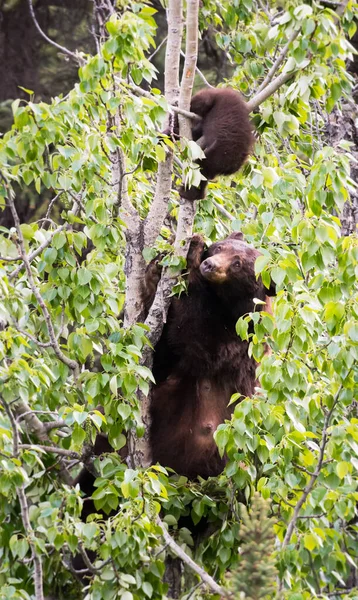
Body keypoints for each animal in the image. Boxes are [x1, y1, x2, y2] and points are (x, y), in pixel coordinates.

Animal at [147, 232, 276, 480]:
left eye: (238, 264)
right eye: (220, 247)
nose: (209, 265)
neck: (225, 306)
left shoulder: (240, 340)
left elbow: (200, 341)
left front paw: (192, 258)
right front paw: (156, 267)